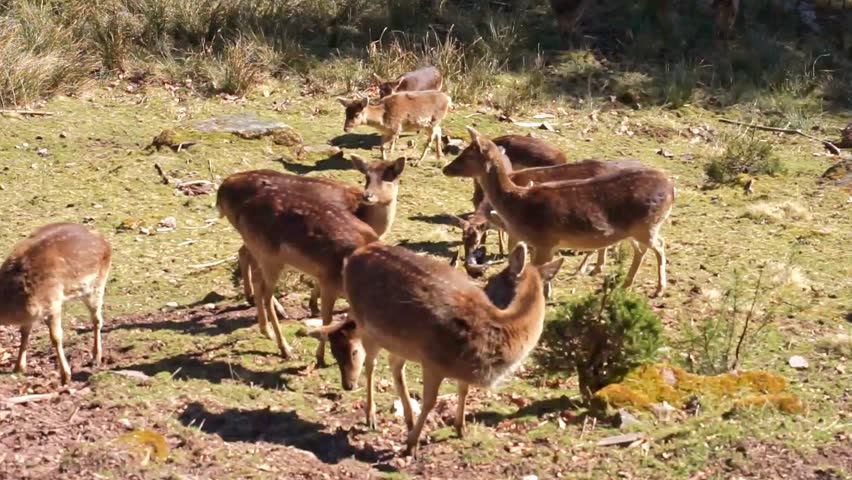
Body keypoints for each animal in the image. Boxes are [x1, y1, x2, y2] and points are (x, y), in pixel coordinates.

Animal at [0, 223, 112, 385]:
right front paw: (18, 368)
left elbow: (56, 337)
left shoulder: (54, 302)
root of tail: (104, 240)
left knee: (97, 319)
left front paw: (66, 376)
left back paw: (96, 357)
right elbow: (24, 332)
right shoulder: (31, 314)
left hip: (96, 285)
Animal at [216, 172, 379, 385]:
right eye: (337, 351)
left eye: (353, 351)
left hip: (265, 257)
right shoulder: (328, 282)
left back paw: (266, 331)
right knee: (266, 294)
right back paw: (285, 348)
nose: (348, 384)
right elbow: (326, 319)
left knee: (258, 280)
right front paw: (319, 357)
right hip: (270, 259)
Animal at [236, 155, 405, 323]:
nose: (368, 195)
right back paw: (278, 310)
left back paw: (250, 297)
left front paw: (314, 306)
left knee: (243, 253)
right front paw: (314, 307)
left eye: (389, 176)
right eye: (367, 176)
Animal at [309, 242, 563, 456]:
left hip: (399, 340)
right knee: (371, 363)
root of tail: (355, 255)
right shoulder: (432, 360)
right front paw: (411, 445)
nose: (487, 289)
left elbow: (464, 390)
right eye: (492, 277)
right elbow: (430, 401)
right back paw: (371, 416)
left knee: (394, 365)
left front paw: (461, 429)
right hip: (366, 323)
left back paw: (408, 418)